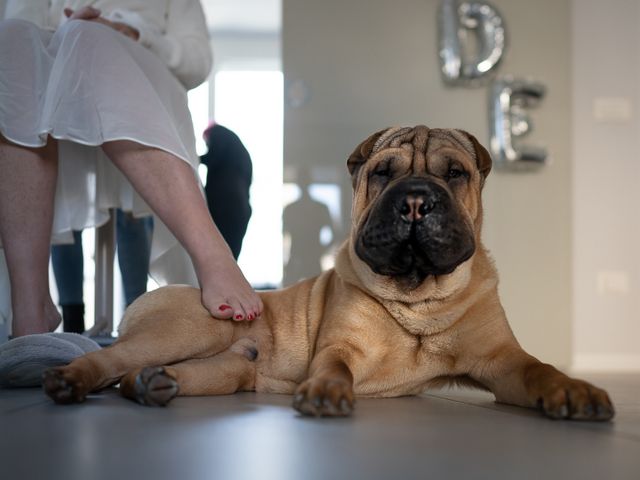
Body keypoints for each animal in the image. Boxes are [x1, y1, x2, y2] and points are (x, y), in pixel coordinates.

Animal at [43, 124, 616, 420]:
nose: (414, 200)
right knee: (109, 358)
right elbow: (333, 365)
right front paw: (324, 392)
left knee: (140, 376)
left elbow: (540, 369)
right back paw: (72, 379)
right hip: (190, 328)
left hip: (223, 369)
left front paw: (576, 390)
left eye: (456, 173)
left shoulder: (501, 360)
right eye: (382, 172)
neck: (420, 297)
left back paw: (150, 385)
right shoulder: (342, 345)